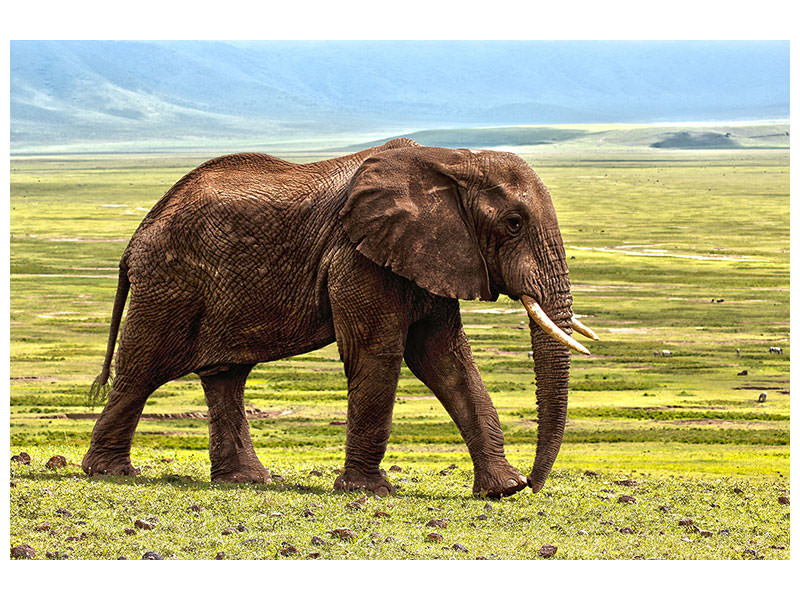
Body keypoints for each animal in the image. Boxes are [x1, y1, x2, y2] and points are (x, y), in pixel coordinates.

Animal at [81, 137, 597, 498]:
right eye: (513, 223)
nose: (534, 484)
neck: (451, 159)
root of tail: (137, 233)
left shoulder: (431, 255)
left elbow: (445, 360)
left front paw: (502, 491)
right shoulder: (357, 257)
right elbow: (379, 354)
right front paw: (371, 492)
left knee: (225, 375)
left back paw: (246, 481)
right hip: (169, 282)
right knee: (142, 369)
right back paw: (110, 473)